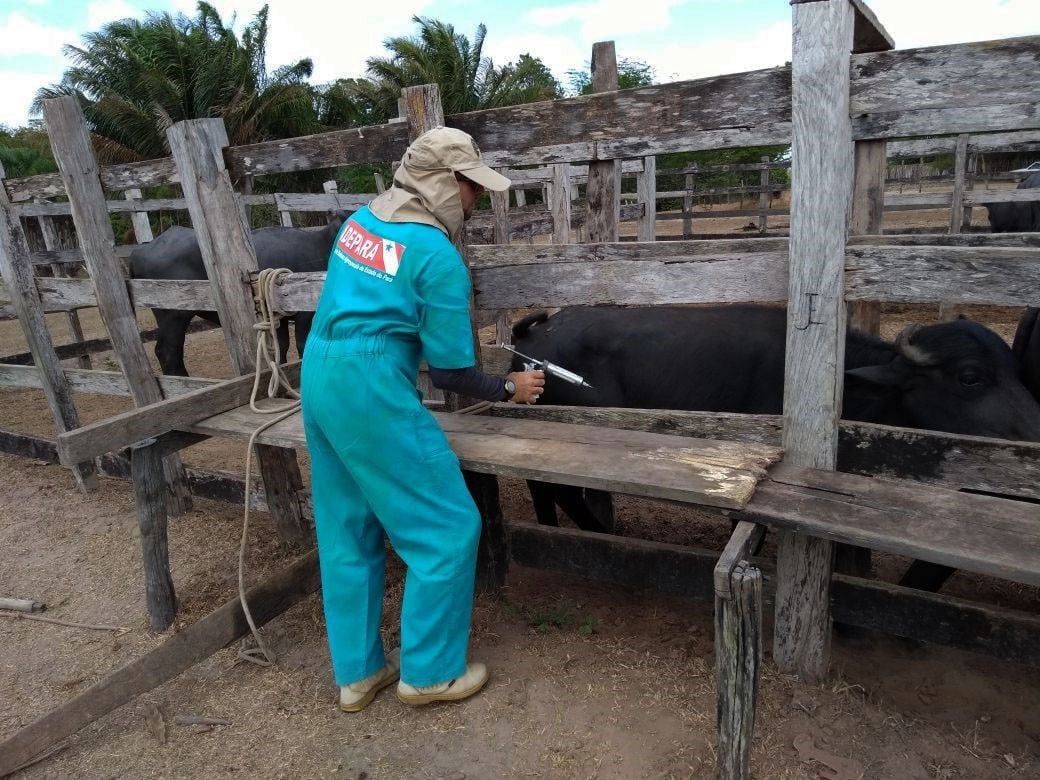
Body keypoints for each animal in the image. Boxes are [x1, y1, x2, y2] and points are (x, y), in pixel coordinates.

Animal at [131, 212, 345, 374]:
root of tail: (143, 248)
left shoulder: (279, 317)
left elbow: (281, 346)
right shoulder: (305, 316)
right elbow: (303, 345)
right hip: (174, 315)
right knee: (168, 351)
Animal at [515, 305, 1040, 536]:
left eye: (1019, 371)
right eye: (970, 377)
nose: (1033, 432)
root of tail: (533, 338)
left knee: (543, 488)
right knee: (561, 490)